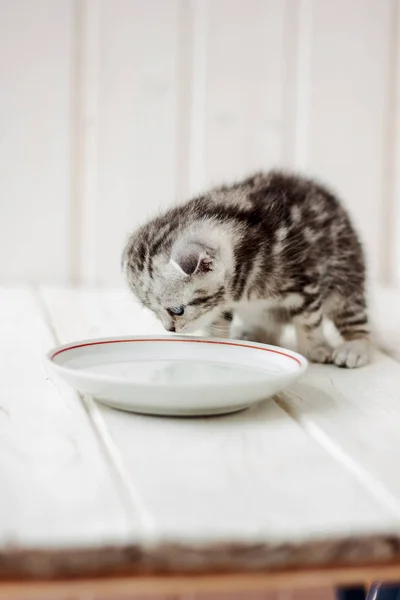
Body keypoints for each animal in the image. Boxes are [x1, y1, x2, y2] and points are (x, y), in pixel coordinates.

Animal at [122, 169, 372, 366]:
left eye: (177, 310)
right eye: (153, 311)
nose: (169, 330)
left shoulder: (307, 281)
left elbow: (308, 322)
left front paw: (316, 350)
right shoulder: (222, 302)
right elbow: (217, 321)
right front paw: (216, 343)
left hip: (346, 276)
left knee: (353, 317)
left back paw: (355, 347)